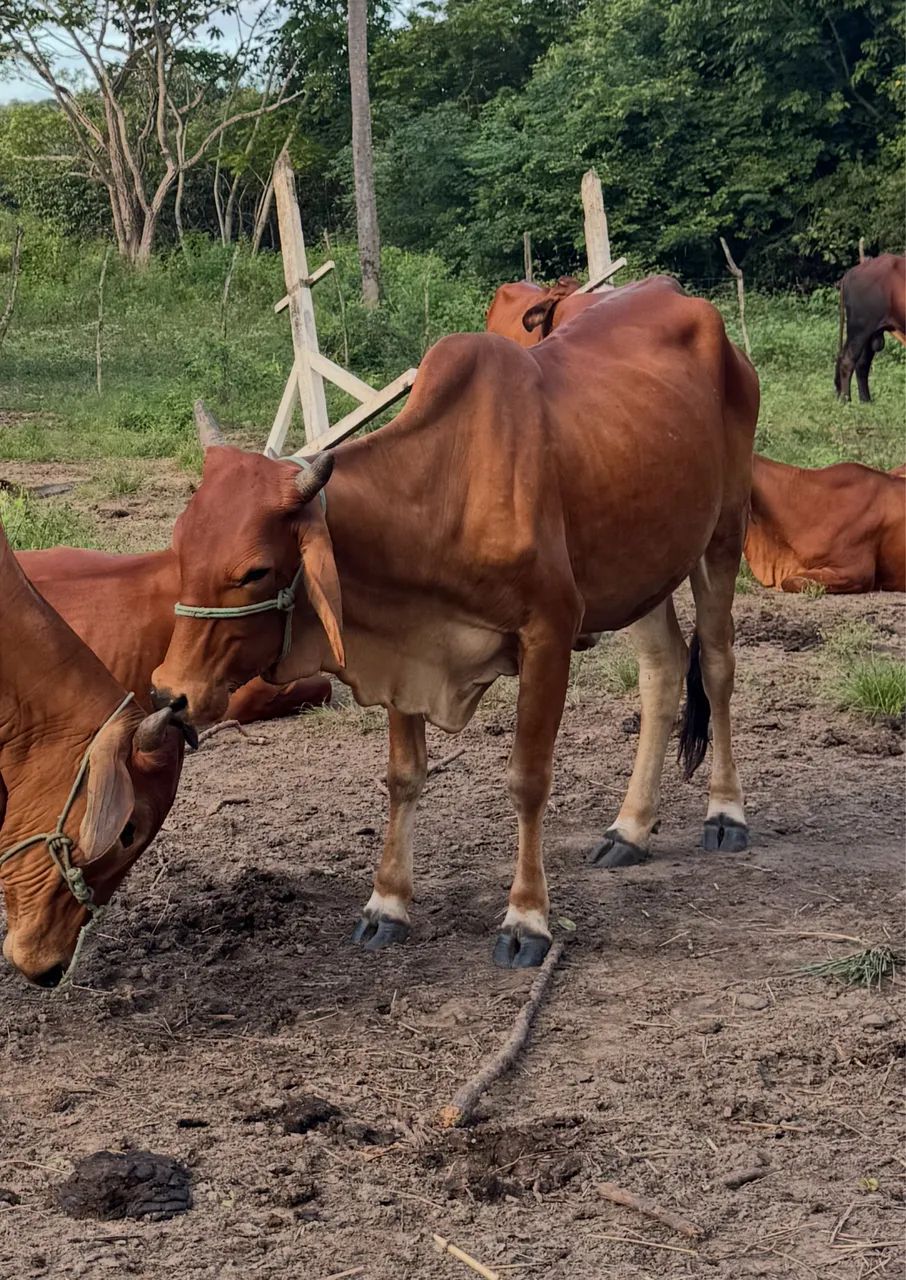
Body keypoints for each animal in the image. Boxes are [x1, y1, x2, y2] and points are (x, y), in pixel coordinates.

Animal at [152, 281, 759, 968]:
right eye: (181, 543)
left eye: (254, 570)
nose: (171, 691)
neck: (444, 488)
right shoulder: (401, 652)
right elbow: (403, 777)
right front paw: (386, 904)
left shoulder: (550, 633)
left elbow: (528, 778)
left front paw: (526, 919)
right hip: (643, 561)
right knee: (662, 671)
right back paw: (630, 828)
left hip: (723, 531)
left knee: (716, 665)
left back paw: (726, 814)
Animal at [834, 253, 906, 402]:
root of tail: (850, 273)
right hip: (860, 329)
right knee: (847, 360)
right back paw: (846, 400)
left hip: (871, 333)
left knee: (862, 364)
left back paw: (866, 401)